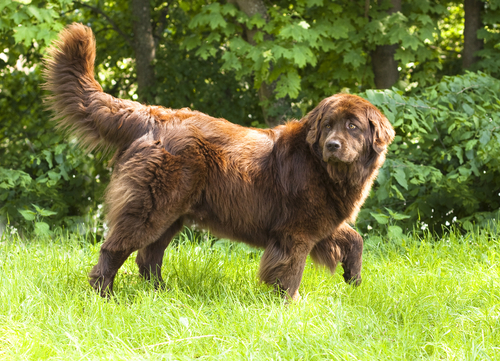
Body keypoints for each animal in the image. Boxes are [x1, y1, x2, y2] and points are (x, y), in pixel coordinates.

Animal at [44, 21, 394, 298]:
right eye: (328, 126)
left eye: (352, 126)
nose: (333, 145)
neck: (324, 168)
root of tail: (151, 115)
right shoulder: (295, 230)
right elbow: (291, 270)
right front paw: (291, 305)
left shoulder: (322, 220)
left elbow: (355, 238)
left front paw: (354, 278)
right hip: (152, 206)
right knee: (115, 248)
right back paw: (105, 295)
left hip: (172, 213)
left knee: (149, 257)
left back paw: (161, 294)